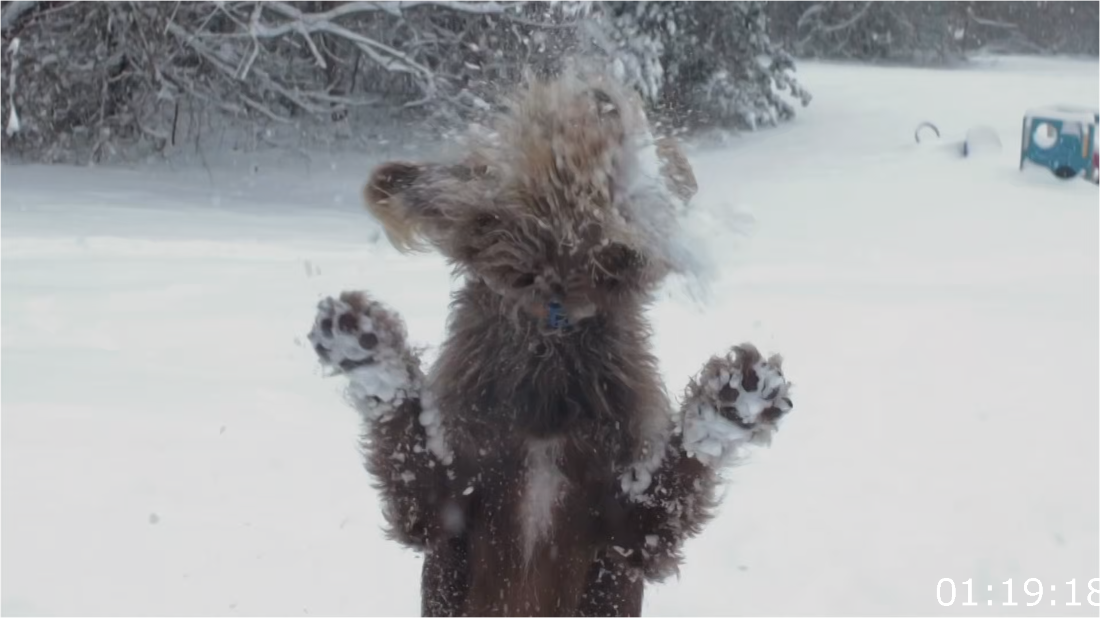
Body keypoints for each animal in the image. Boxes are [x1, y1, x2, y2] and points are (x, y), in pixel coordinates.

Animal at [308, 70, 792, 611]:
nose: (601, 94)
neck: (553, 327)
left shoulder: (632, 534)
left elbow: (680, 472)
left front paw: (729, 406)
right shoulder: (440, 512)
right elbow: (406, 440)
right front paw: (370, 356)